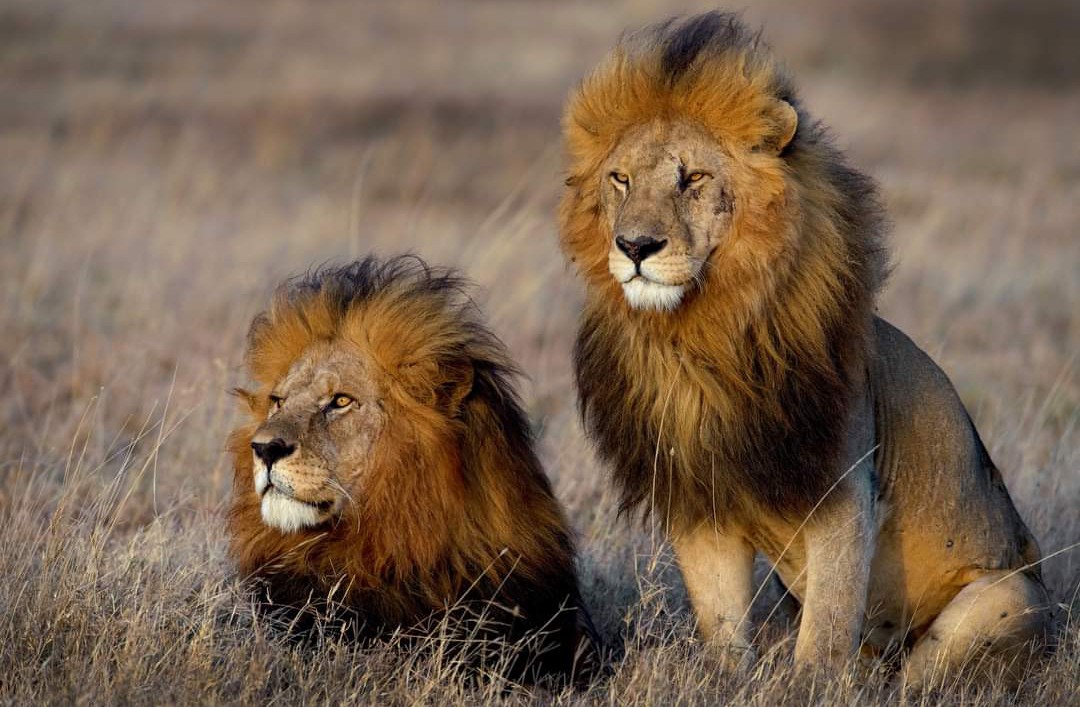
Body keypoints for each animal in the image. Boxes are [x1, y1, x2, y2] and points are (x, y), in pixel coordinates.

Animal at [561, 9, 1049, 686]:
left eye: (694, 178)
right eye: (620, 179)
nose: (634, 246)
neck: (701, 338)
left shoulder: (846, 493)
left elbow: (827, 627)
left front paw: (810, 686)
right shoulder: (702, 501)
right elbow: (722, 625)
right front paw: (727, 683)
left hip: (1007, 597)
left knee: (917, 675)